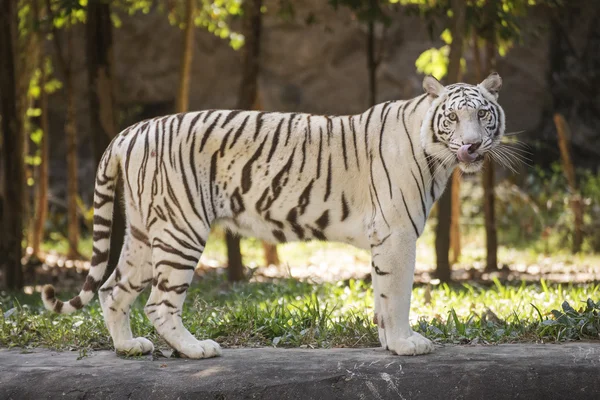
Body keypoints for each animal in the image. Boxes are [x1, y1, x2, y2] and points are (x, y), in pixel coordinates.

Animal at [42, 73, 504, 358]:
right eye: (453, 117)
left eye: (483, 114)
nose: (471, 145)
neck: (437, 157)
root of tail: (130, 130)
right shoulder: (397, 233)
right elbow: (398, 294)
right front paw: (406, 344)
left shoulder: (385, 238)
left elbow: (381, 295)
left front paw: (390, 342)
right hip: (180, 228)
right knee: (159, 302)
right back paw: (196, 349)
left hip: (141, 232)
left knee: (111, 290)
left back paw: (128, 347)